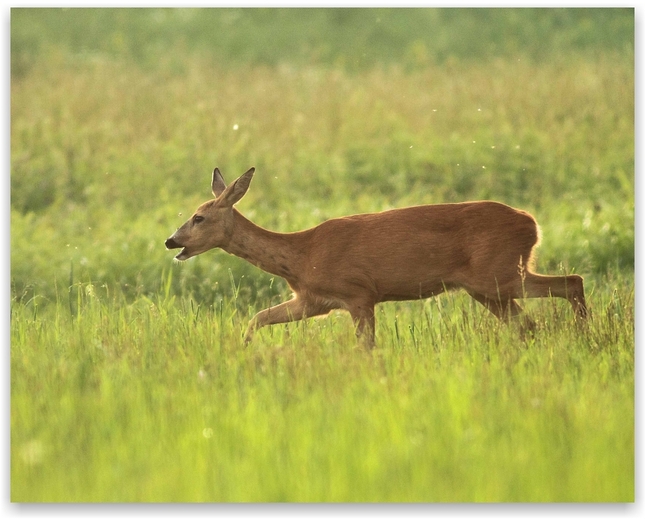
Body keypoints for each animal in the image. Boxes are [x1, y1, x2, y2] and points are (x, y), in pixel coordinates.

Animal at [164, 168, 588, 350]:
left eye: (199, 217)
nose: (171, 240)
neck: (302, 256)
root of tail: (532, 223)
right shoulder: (312, 301)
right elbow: (257, 318)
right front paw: (244, 349)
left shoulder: (359, 293)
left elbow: (366, 347)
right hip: (487, 288)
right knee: (529, 325)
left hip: (499, 273)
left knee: (573, 282)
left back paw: (587, 334)